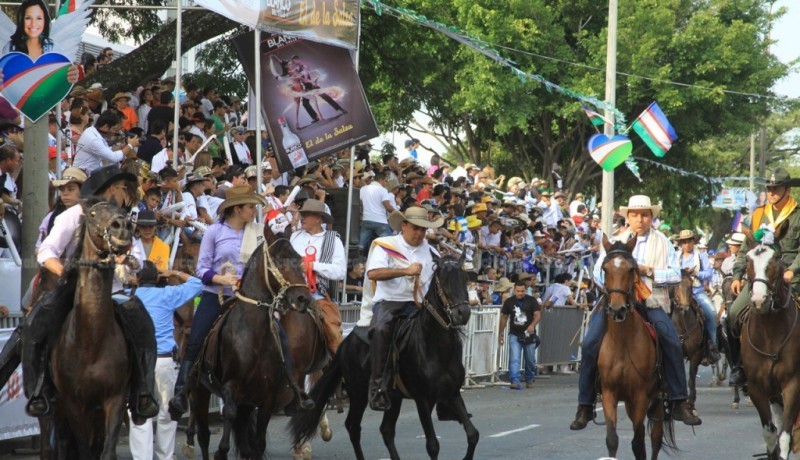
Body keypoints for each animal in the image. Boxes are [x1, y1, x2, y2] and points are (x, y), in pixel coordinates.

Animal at [49, 201, 135, 459]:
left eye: (123, 211)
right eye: (94, 214)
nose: (122, 226)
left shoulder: (115, 399)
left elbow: (107, 450)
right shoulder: (72, 403)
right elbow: (83, 450)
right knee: (62, 443)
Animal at [187, 233, 312, 460]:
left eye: (298, 259)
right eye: (278, 260)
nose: (303, 299)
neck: (253, 335)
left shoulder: (266, 396)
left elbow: (257, 444)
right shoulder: (230, 385)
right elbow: (228, 418)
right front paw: (221, 451)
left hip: (246, 400)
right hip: (200, 392)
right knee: (204, 435)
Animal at [289, 253, 479, 460]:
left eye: (465, 278)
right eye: (442, 279)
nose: (463, 313)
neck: (435, 346)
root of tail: (346, 342)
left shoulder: (452, 394)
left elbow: (472, 434)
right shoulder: (423, 400)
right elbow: (433, 445)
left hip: (392, 398)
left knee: (386, 430)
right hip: (358, 393)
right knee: (353, 426)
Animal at [597, 236, 675, 460]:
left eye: (632, 269)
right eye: (605, 269)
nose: (617, 309)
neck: (623, 343)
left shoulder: (640, 395)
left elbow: (639, 443)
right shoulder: (610, 392)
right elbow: (612, 439)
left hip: (657, 400)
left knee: (655, 439)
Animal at [739, 228, 800, 460]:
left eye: (775, 258)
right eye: (748, 259)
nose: (758, 301)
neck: (769, 334)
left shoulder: (793, 384)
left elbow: (784, 436)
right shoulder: (757, 387)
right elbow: (771, 433)